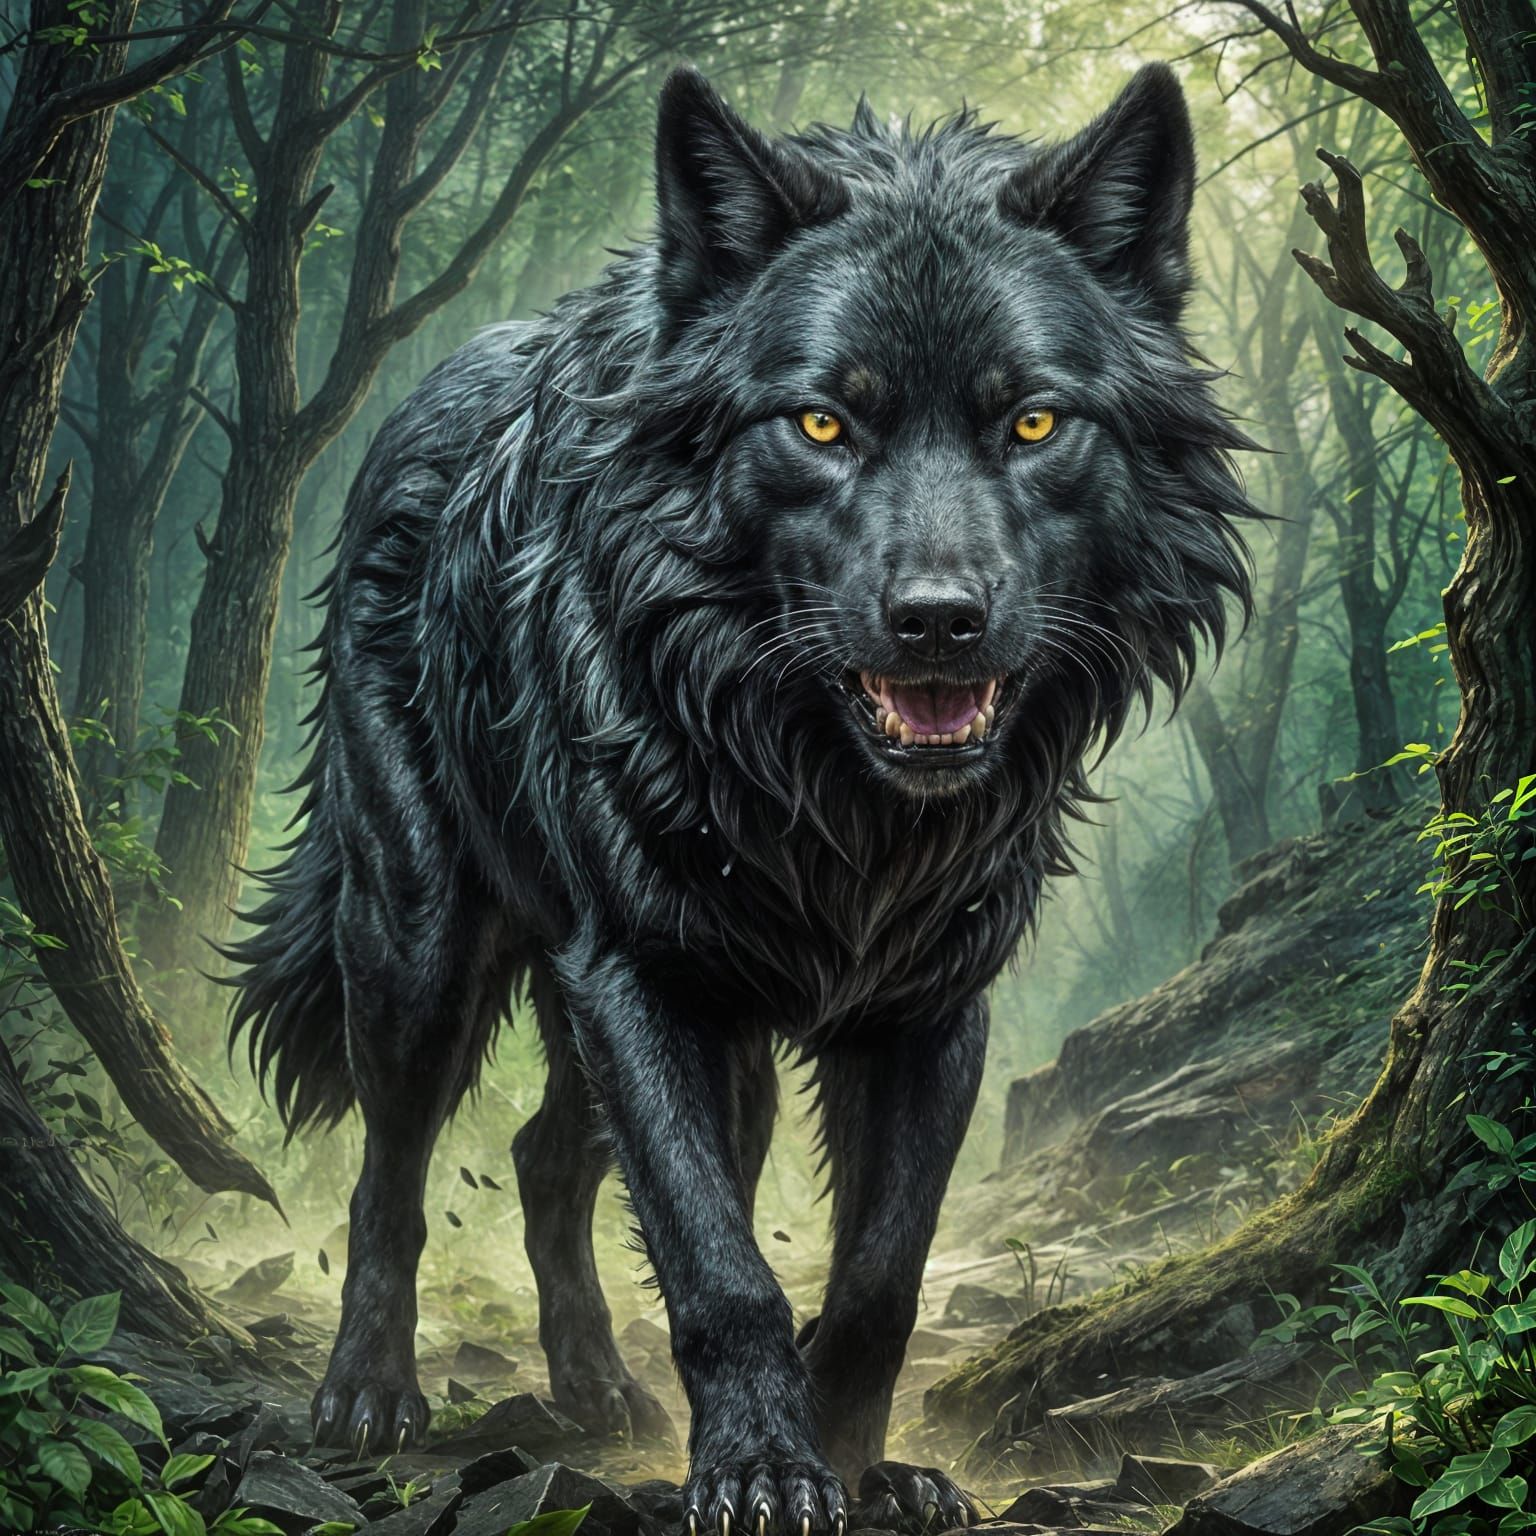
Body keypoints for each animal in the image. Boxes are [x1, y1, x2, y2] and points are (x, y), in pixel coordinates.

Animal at [228, 63, 1253, 1535]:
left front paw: (859, 1469)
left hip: (711, 1046)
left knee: (543, 1158)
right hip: (425, 949)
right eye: (822, 421)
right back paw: (369, 1394)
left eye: (1032, 420)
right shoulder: (638, 981)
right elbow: (720, 1268)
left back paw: (600, 1390)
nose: (938, 621)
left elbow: (878, 1275)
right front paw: (764, 1471)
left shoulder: (931, 1009)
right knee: (393, 1170)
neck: (835, 803)